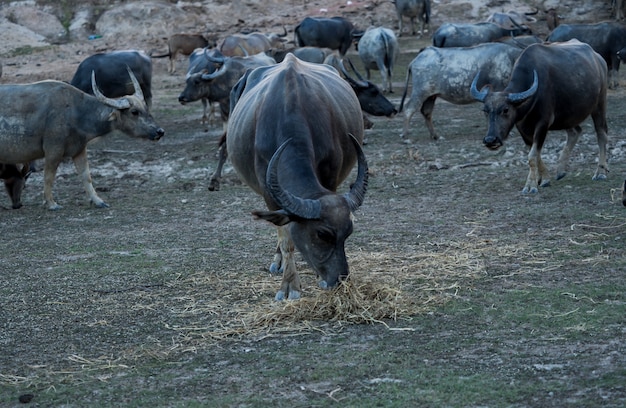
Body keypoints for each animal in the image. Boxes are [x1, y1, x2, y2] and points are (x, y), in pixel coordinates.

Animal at [0, 68, 163, 209]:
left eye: (146, 108)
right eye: (134, 112)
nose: (159, 131)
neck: (76, 112)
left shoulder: (79, 149)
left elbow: (86, 176)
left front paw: (98, 201)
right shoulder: (53, 151)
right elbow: (49, 177)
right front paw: (51, 203)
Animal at [227, 54, 368, 302]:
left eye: (348, 232)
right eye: (322, 234)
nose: (340, 279)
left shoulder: (330, 178)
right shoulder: (269, 192)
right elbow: (286, 240)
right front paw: (289, 286)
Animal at [470, 40, 608, 194]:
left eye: (505, 110)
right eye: (485, 110)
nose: (490, 140)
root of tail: (599, 59)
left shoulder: (543, 123)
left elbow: (532, 156)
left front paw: (531, 185)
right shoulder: (522, 126)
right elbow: (535, 154)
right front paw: (544, 178)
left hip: (599, 104)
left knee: (601, 133)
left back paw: (600, 172)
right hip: (567, 116)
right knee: (575, 131)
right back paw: (561, 170)